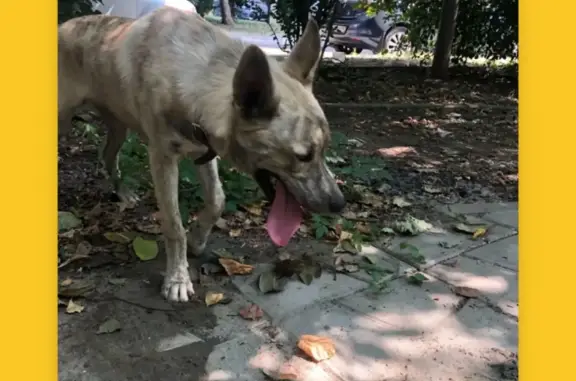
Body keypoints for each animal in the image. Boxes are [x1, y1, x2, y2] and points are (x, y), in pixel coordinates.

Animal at [59, 6, 346, 302]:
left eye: (324, 149)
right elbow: (174, 224)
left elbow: (217, 200)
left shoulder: (205, 153)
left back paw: (123, 193)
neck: (192, 78)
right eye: (303, 156)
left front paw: (197, 238)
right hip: (62, 121)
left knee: (107, 155)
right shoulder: (162, 159)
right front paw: (177, 278)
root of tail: (64, 26)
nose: (340, 204)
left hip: (118, 126)